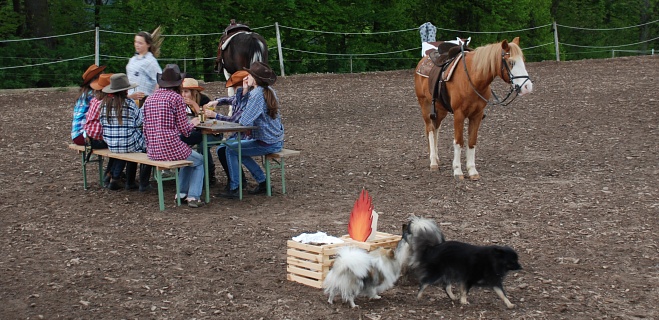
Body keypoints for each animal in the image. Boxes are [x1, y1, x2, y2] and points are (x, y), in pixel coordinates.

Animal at [416, 37, 532, 180]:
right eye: (511, 62)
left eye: (523, 60)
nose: (527, 87)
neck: (473, 78)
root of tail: (423, 59)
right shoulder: (459, 115)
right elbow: (459, 141)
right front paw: (458, 171)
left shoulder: (477, 115)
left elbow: (472, 142)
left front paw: (472, 171)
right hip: (425, 106)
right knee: (430, 130)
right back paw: (433, 162)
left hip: (440, 109)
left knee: (436, 128)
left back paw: (436, 158)